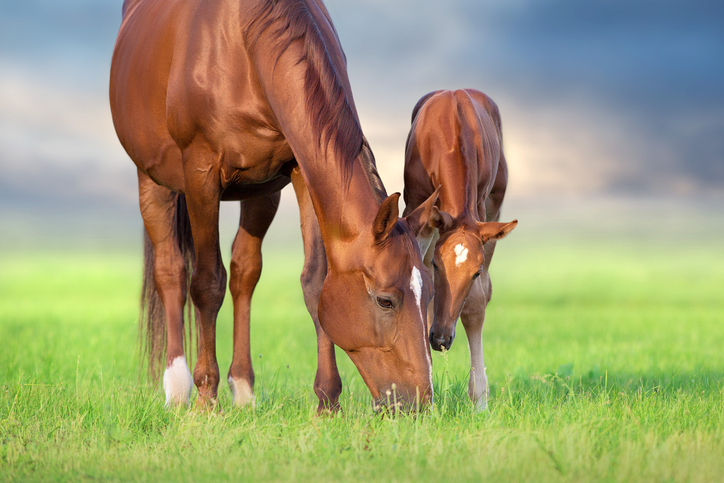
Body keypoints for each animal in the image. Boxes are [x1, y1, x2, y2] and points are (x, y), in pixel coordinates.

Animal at [109, 0, 440, 412]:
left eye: (430, 294)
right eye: (385, 301)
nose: (420, 402)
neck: (240, 43)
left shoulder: (300, 169)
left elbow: (315, 281)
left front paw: (328, 401)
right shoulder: (201, 174)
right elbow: (207, 283)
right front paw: (206, 398)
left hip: (261, 193)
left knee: (244, 272)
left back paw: (243, 389)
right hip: (154, 180)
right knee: (171, 271)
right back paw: (178, 387)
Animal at [402, 89, 517, 411]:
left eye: (474, 273)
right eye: (438, 266)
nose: (441, 339)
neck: (450, 130)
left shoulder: (483, 215)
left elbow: (476, 304)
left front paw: (480, 400)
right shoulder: (417, 204)